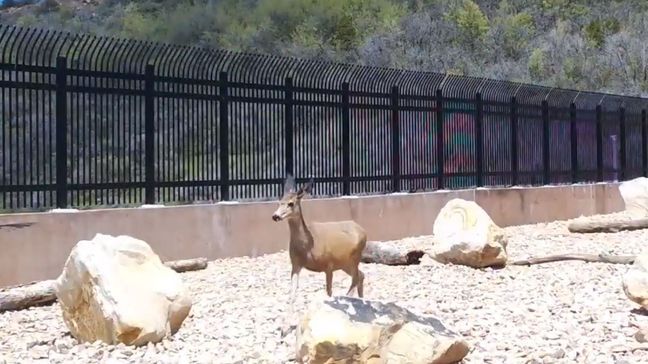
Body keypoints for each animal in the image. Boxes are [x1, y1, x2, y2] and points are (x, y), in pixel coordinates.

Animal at [270, 175, 368, 336]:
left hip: (355, 257)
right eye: (279, 201)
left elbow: (328, 293)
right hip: (345, 263)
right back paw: (362, 301)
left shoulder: (328, 264)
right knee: (361, 275)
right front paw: (284, 328)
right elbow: (292, 293)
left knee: (355, 278)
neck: (309, 245)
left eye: (291, 203)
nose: (275, 216)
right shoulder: (296, 264)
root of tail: (362, 230)